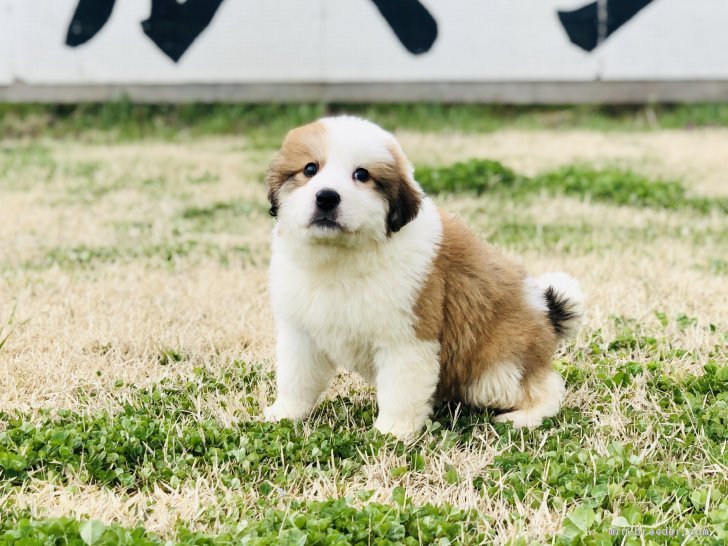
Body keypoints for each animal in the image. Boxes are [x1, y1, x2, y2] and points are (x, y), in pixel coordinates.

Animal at [264, 116, 584, 438]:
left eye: (361, 175)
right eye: (310, 169)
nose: (327, 197)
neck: (341, 256)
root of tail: (547, 312)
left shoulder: (407, 337)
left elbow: (400, 390)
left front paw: (391, 433)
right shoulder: (300, 332)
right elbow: (296, 378)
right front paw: (284, 413)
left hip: (494, 372)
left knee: (548, 388)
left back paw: (523, 417)